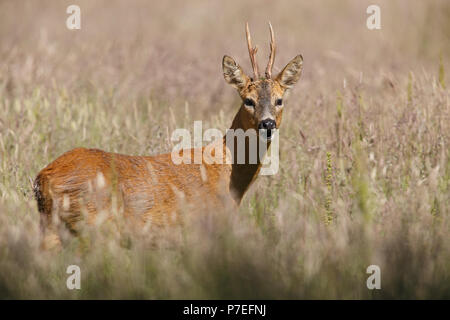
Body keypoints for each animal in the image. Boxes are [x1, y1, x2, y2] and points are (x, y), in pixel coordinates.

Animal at [34, 23, 302, 250]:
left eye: (280, 100)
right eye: (248, 100)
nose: (267, 124)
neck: (227, 173)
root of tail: (42, 178)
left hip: (52, 230)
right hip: (93, 225)